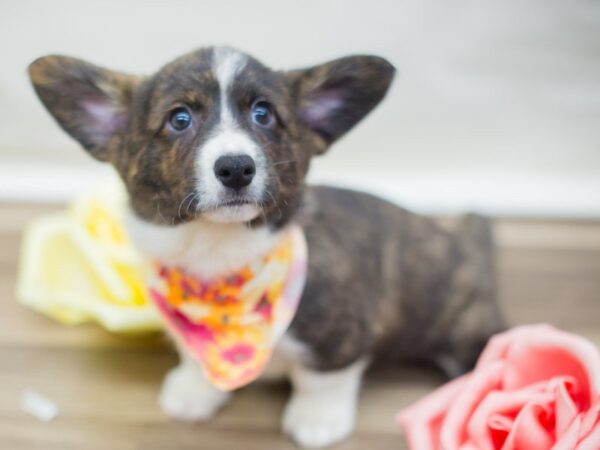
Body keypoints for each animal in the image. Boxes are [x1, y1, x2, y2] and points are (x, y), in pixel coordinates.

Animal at [29, 47, 506, 448]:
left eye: (264, 114)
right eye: (179, 119)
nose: (237, 168)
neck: (217, 254)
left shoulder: (343, 334)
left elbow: (322, 376)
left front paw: (316, 419)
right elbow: (195, 360)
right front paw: (193, 391)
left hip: (467, 332)